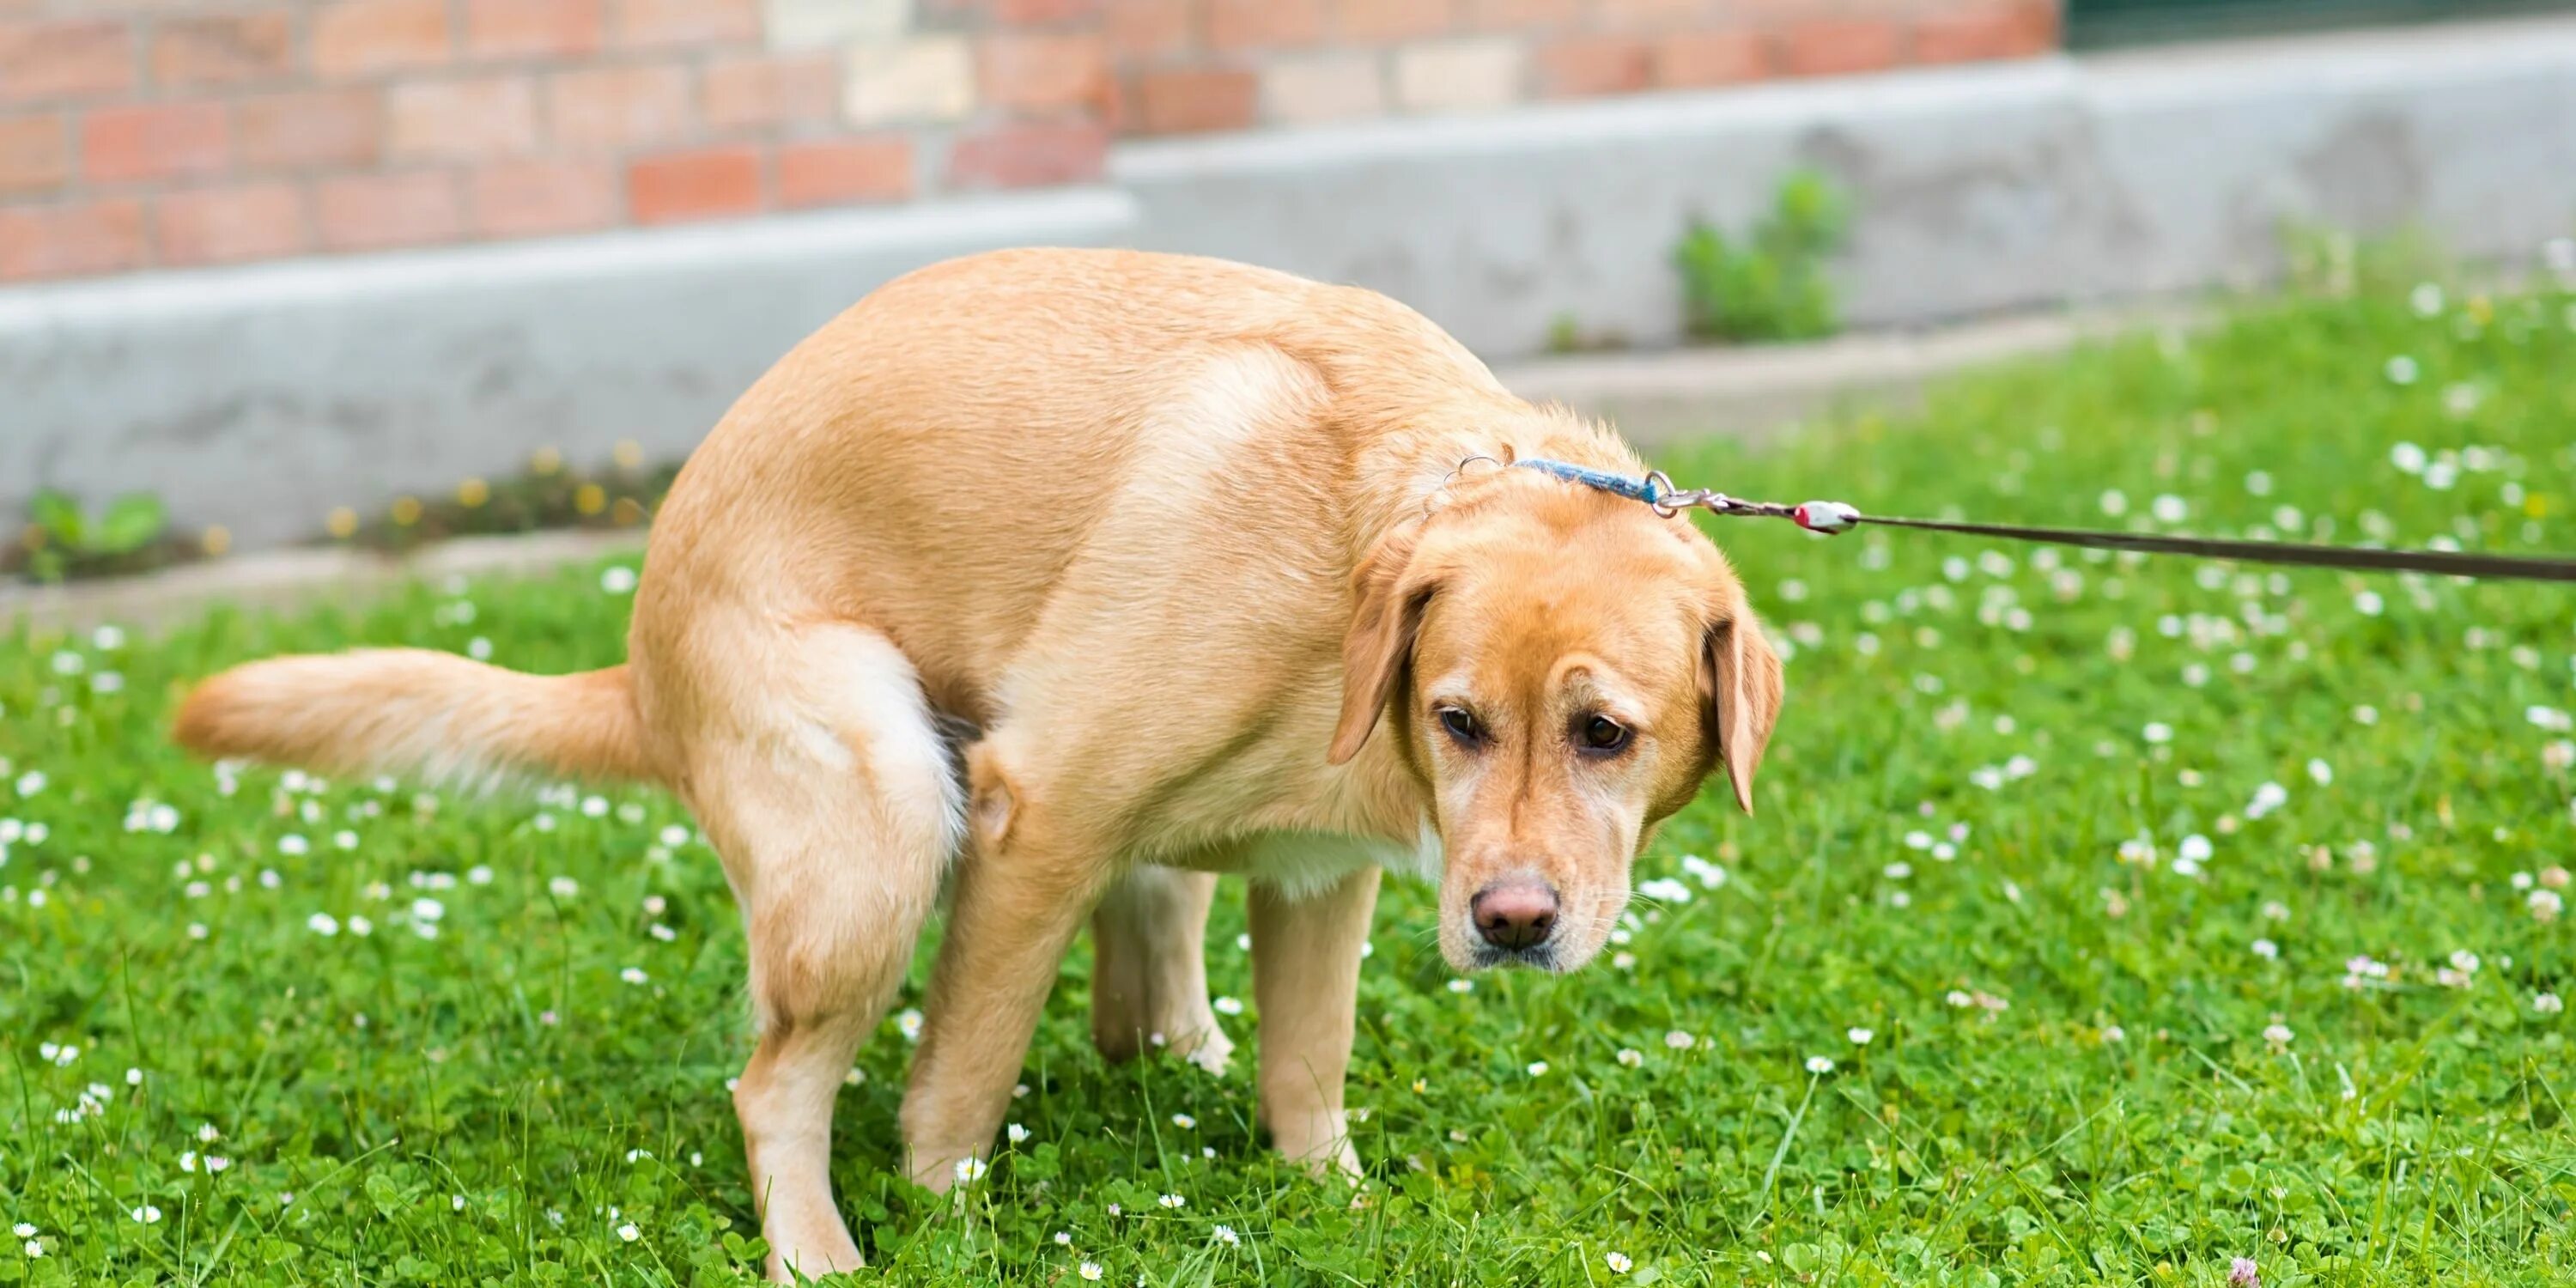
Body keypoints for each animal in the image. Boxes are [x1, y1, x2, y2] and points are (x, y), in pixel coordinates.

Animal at [176, 246, 1772, 1283]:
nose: (1511, 925)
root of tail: (641, 665)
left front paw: (1337, 1200)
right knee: (776, 1088)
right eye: (1459, 721)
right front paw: (944, 1218)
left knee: (1144, 993)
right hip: (880, 824)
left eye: (1605, 734)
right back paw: (818, 1250)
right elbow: (958, 1084)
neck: (1358, 546)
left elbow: (1308, 1072)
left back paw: (1180, 1056)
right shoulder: (1036, 818)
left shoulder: (1321, 882)